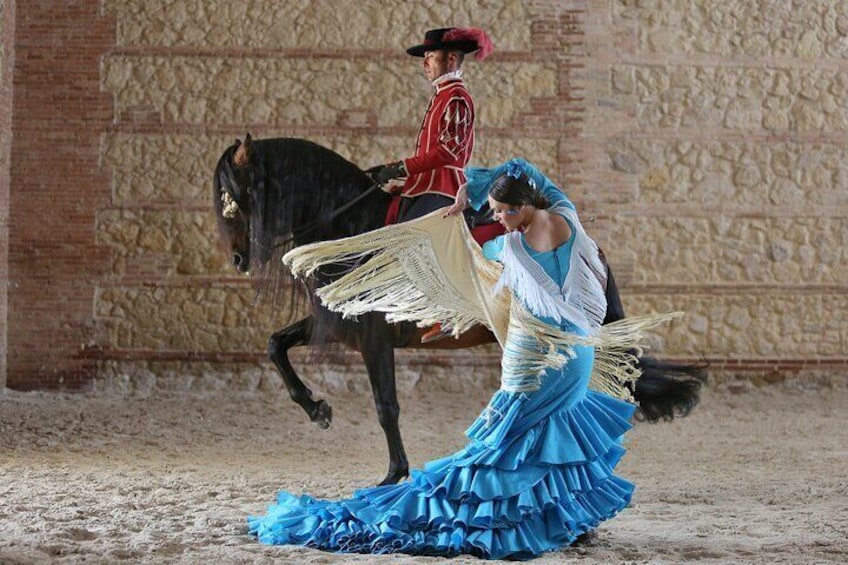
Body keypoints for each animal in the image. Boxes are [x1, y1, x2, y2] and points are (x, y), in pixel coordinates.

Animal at [214, 135, 708, 484]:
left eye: (232, 200)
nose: (237, 259)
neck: (351, 223)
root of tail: (590, 249)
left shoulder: (373, 338)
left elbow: (386, 405)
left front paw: (394, 475)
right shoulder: (336, 324)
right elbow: (275, 345)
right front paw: (317, 409)